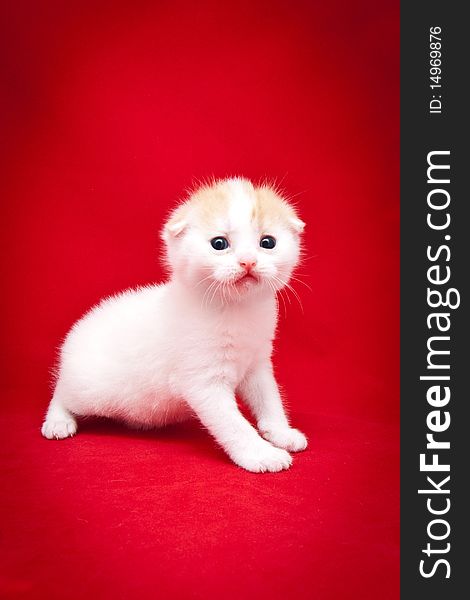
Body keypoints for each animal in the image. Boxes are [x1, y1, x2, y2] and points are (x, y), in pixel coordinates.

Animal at [42, 178, 308, 474]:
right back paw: (58, 421)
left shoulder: (257, 365)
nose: (248, 261)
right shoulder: (203, 383)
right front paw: (261, 454)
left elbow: (270, 401)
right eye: (219, 243)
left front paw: (282, 433)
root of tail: (79, 328)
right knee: (62, 392)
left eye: (267, 242)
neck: (235, 309)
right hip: (89, 390)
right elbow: (234, 425)